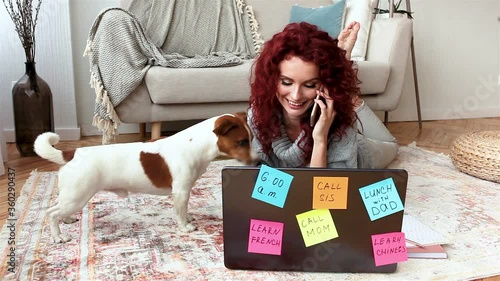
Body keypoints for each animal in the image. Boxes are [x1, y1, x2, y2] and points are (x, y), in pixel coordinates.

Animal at [34, 112, 258, 242]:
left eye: (251, 139)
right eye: (241, 142)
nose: (257, 161)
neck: (197, 144)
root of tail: (74, 153)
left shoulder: (184, 192)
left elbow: (184, 210)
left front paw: (187, 217)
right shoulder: (181, 191)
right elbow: (180, 212)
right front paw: (184, 227)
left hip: (70, 196)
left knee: (57, 209)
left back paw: (67, 220)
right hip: (77, 196)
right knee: (51, 213)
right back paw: (58, 236)